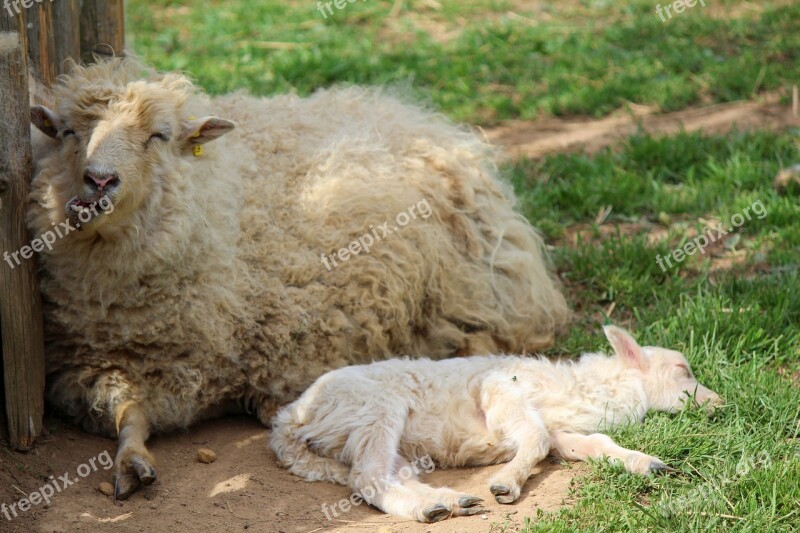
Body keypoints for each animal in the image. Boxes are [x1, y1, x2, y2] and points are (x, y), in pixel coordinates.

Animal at [26, 58, 568, 498]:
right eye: (68, 132)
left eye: (158, 135)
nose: (98, 181)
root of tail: (416, 116)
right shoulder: (85, 366)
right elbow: (127, 411)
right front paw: (131, 461)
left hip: (473, 293)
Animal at [272, 324, 720, 520]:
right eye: (682, 369)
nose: (719, 403)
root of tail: (287, 419)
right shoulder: (498, 388)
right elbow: (536, 439)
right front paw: (506, 484)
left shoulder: (562, 429)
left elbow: (590, 443)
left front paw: (647, 464)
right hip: (375, 409)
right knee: (368, 477)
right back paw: (434, 506)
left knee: (385, 475)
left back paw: (448, 503)